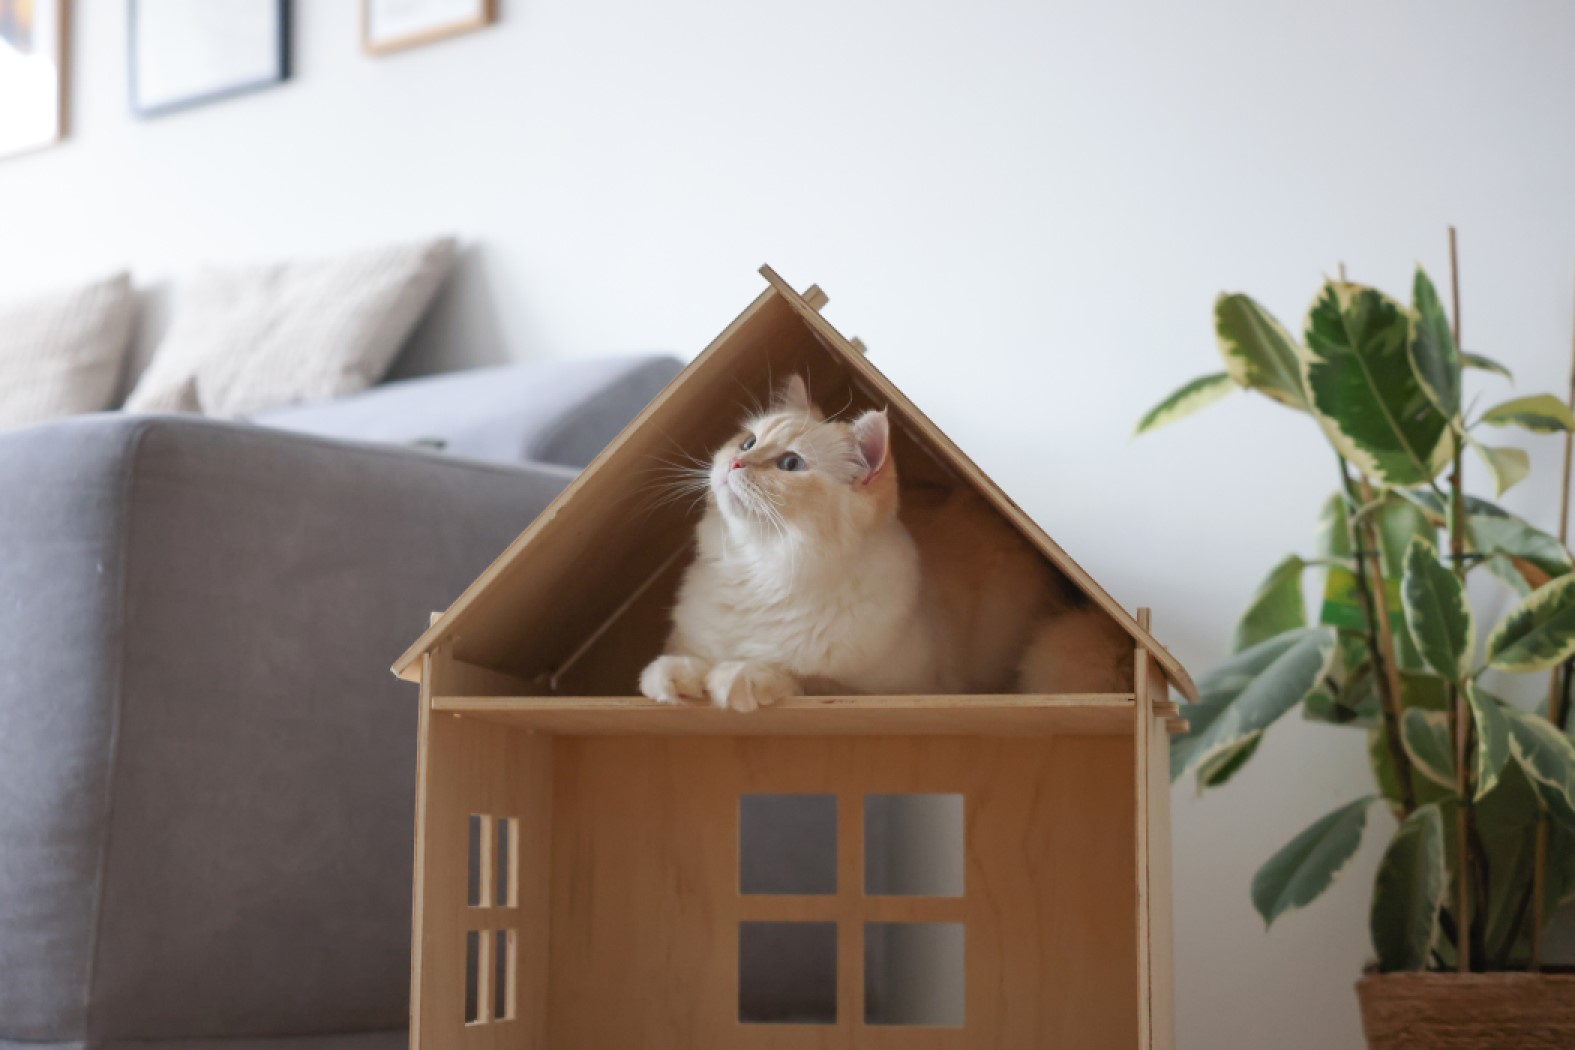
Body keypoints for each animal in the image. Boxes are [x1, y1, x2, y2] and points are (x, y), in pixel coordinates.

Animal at [639, 373, 1134, 711]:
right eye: (747, 442)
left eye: (790, 464)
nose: (735, 464)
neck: (761, 572)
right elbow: (682, 662)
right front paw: (674, 678)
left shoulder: (905, 691)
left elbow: (804, 679)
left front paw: (739, 677)